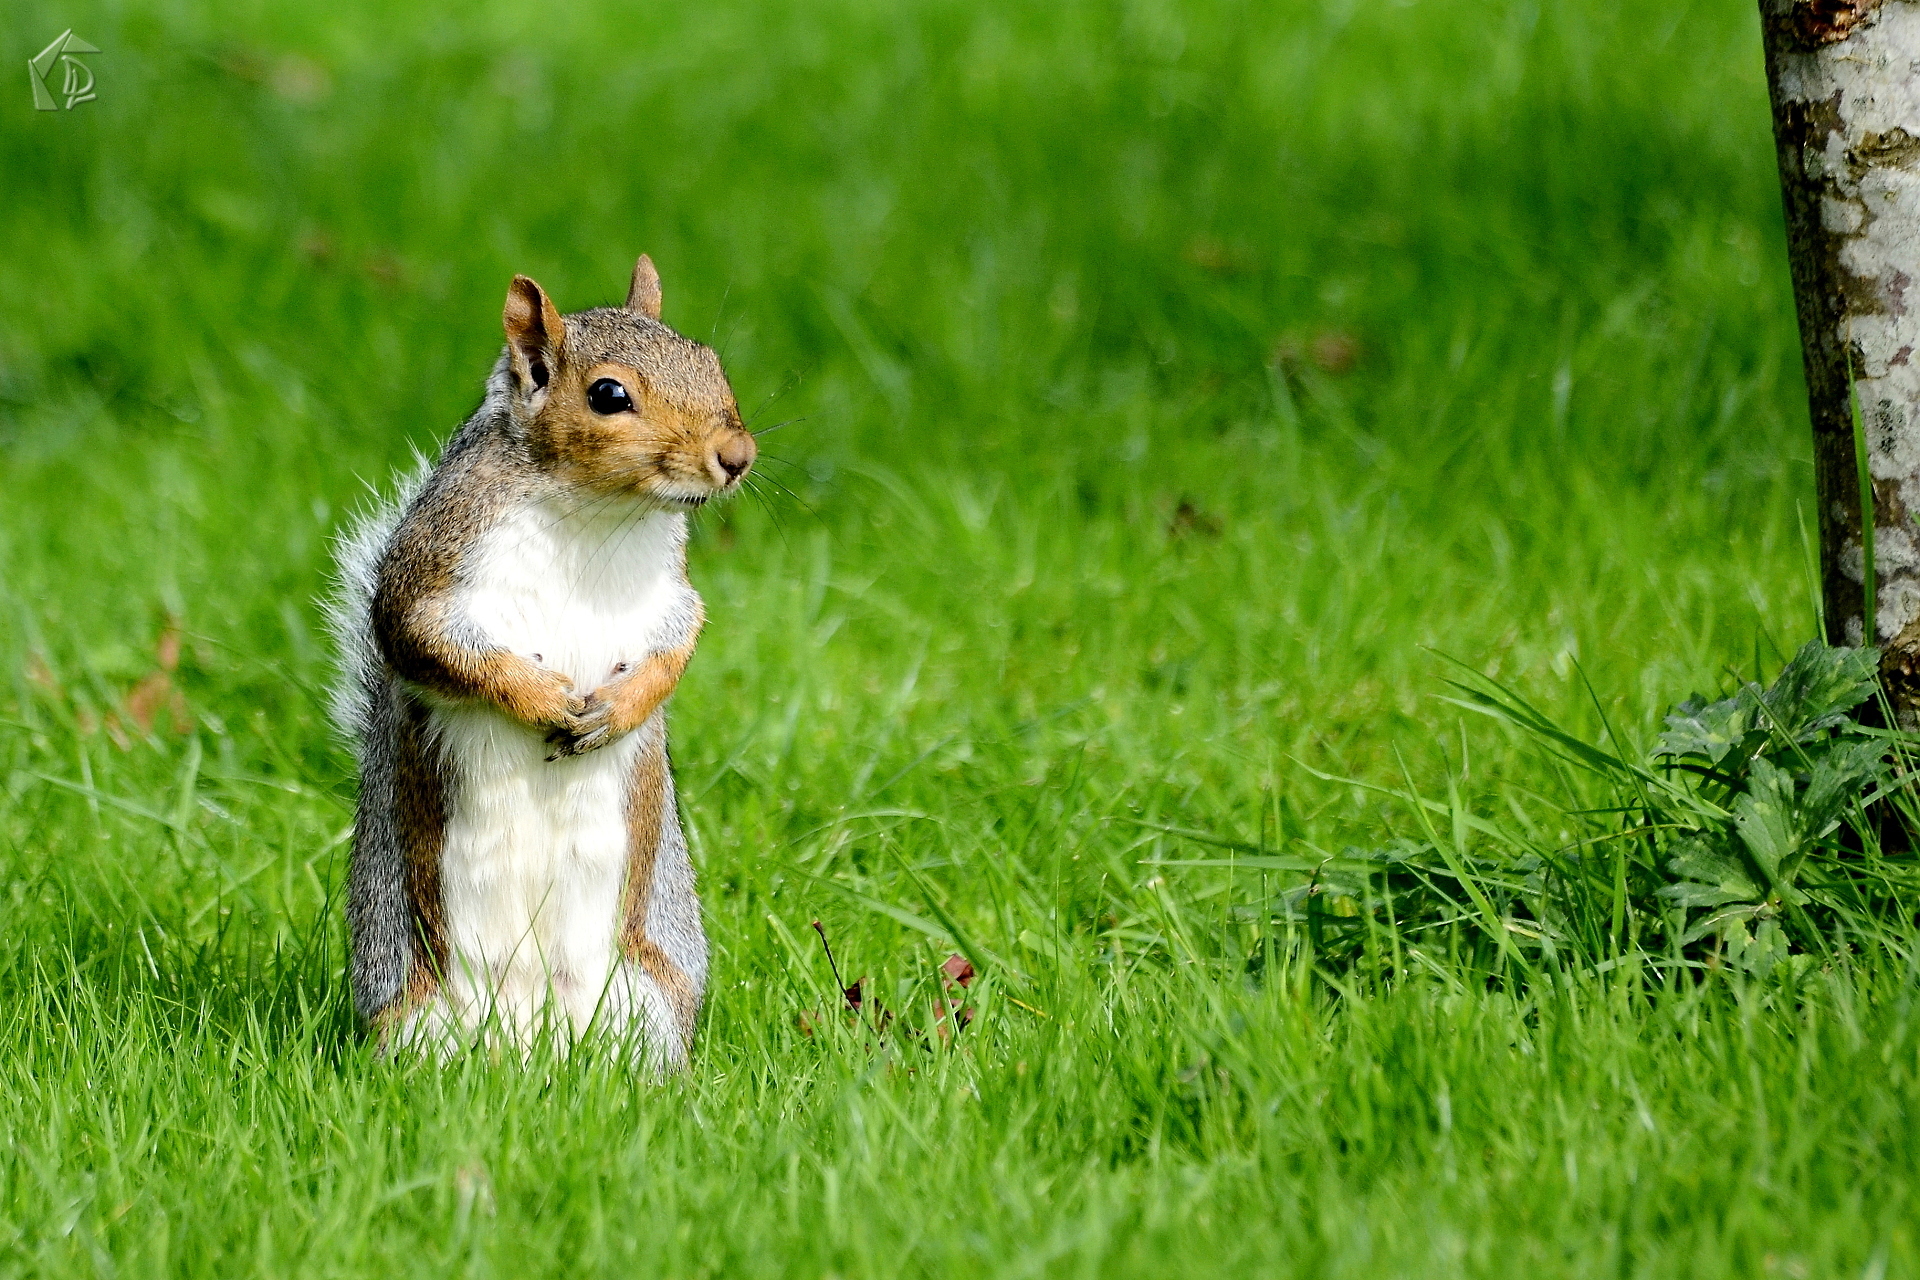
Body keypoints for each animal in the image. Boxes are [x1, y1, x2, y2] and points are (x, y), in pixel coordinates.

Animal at [326, 256, 755, 1067]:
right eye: (609, 395)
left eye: (713, 363)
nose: (737, 459)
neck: (594, 512)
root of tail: (533, 1045)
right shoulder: (429, 576)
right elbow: (430, 644)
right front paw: (542, 698)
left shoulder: (672, 598)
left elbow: (676, 650)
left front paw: (616, 711)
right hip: (412, 1018)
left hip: (648, 1002)